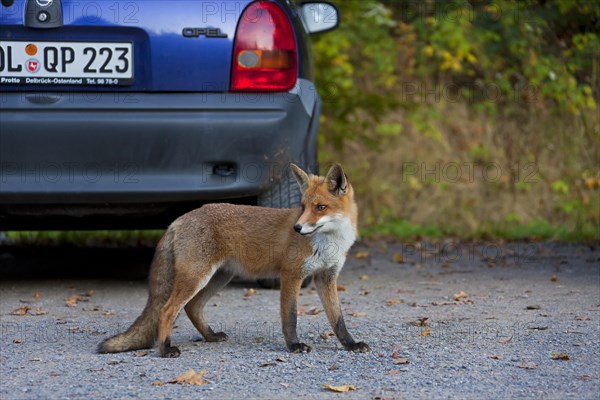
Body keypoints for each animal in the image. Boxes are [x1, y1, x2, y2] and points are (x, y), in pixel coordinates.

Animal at [98, 164, 370, 358]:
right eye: (302, 207)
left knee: (191, 307)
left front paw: (351, 344)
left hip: (219, 277)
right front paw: (294, 346)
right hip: (198, 277)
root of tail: (180, 219)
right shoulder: (291, 275)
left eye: (320, 207)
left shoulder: (326, 277)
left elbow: (338, 319)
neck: (330, 243)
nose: (297, 228)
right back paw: (165, 350)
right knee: (167, 310)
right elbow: (290, 317)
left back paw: (210, 336)